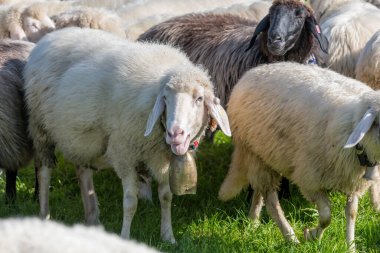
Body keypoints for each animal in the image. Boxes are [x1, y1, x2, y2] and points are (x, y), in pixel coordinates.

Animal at [24, 26, 232, 242]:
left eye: (199, 99)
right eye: (165, 98)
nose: (175, 134)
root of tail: (50, 36)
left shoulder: (162, 159)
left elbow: (166, 197)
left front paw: (168, 236)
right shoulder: (124, 154)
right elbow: (131, 202)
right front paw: (124, 237)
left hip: (79, 137)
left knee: (82, 170)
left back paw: (92, 218)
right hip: (40, 129)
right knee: (44, 173)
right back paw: (44, 215)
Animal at [220, 61, 380, 251]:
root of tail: (255, 70)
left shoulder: (353, 182)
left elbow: (352, 213)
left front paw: (350, 247)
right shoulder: (310, 180)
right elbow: (326, 216)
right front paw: (311, 235)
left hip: (264, 156)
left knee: (259, 192)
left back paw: (253, 221)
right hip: (254, 153)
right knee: (272, 201)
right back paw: (290, 238)